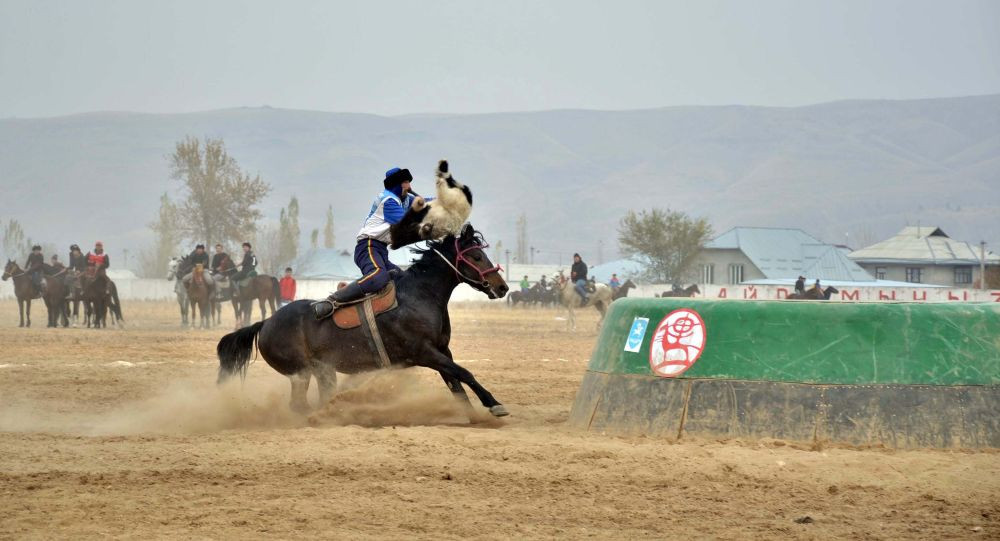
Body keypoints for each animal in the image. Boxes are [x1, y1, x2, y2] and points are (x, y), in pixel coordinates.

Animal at [217, 221, 508, 416]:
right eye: (476, 256)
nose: (502, 286)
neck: (418, 296)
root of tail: (265, 323)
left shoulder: (441, 351)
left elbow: (456, 383)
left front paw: (471, 414)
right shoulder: (425, 352)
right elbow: (464, 373)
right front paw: (494, 404)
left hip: (322, 371)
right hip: (302, 372)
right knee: (299, 404)